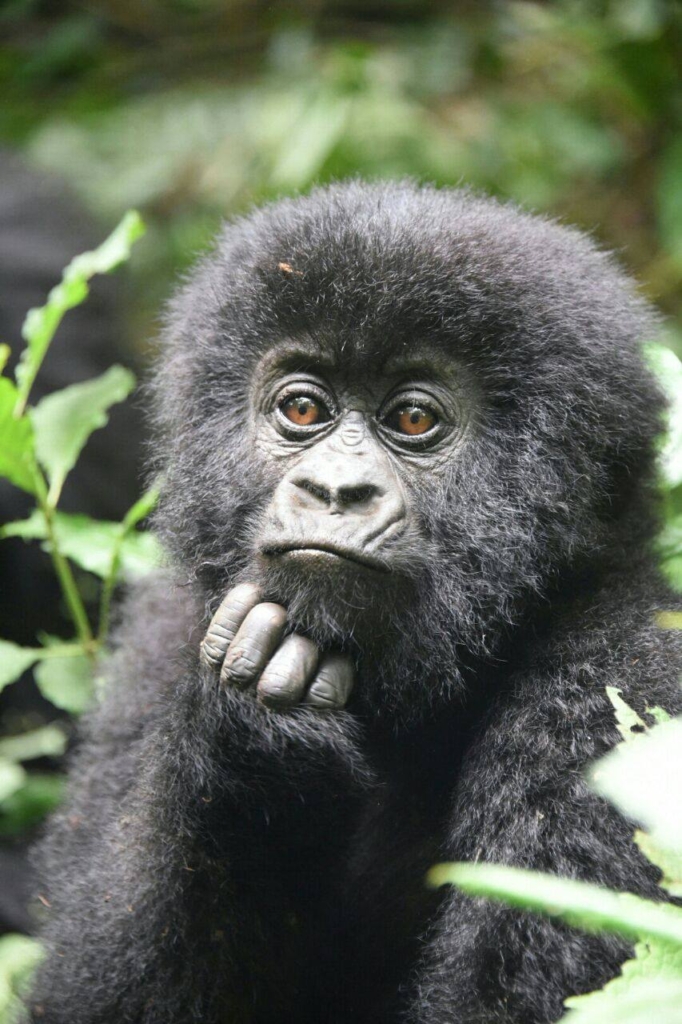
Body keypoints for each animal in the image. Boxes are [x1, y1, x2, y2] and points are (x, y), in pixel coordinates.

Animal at [29, 182, 679, 1024]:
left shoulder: (621, 689)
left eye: (413, 419)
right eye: (304, 409)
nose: (335, 490)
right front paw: (247, 752)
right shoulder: (155, 641)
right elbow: (91, 992)